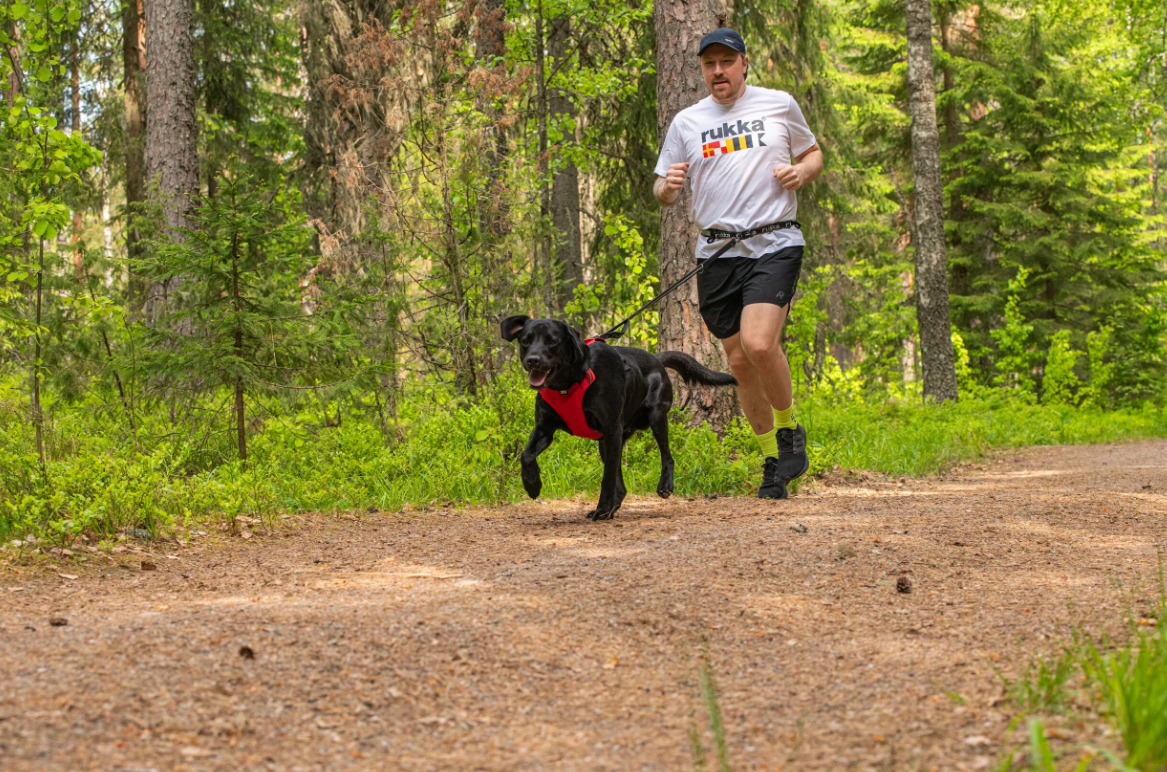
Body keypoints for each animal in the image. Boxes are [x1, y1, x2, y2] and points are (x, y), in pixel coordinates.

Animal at [501, 312, 737, 520]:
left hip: (655, 416)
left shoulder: (611, 431)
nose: (533, 360)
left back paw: (663, 486)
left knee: (666, 455)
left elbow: (607, 480)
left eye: (552, 341)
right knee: (621, 486)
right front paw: (532, 484)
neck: (567, 385)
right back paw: (612, 510)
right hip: (606, 443)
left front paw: (602, 509)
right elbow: (526, 455)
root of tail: (655, 358)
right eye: (525, 341)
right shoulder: (544, 429)